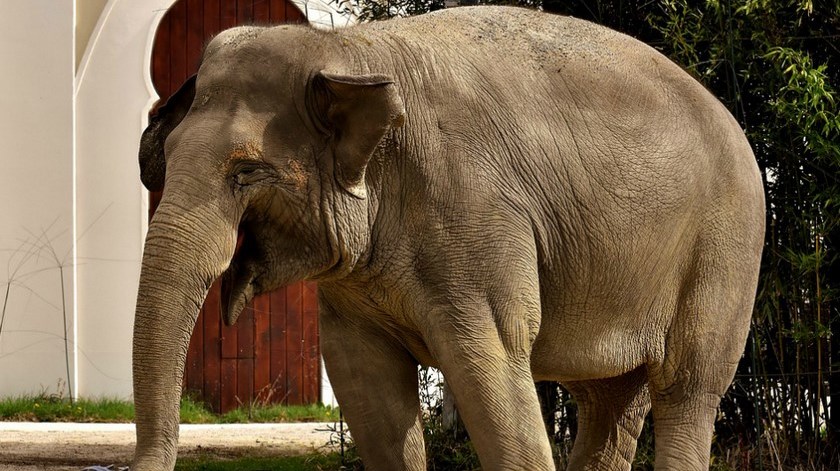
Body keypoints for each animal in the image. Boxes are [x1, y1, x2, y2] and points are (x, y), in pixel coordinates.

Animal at [132, 6, 765, 471]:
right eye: (164, 158)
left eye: (245, 172)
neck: (349, 49)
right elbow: (367, 387)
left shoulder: (474, 218)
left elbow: (490, 365)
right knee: (608, 400)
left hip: (726, 248)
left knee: (687, 388)